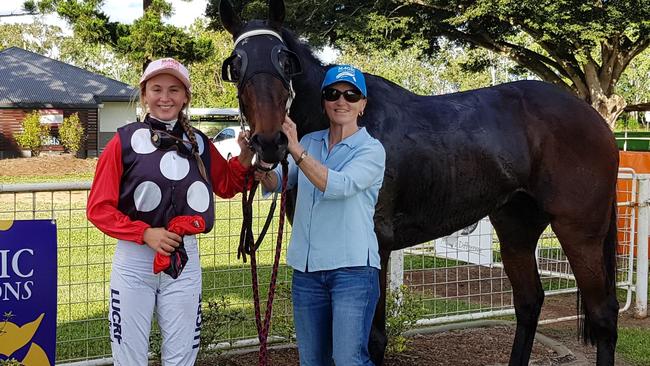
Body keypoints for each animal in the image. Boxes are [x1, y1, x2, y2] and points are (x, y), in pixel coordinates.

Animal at [218, 1, 616, 364]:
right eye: (236, 65)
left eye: (285, 62)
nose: (269, 141)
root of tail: (593, 117)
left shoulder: (376, 248)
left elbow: (372, 339)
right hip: (516, 225)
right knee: (529, 302)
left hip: (580, 230)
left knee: (603, 314)